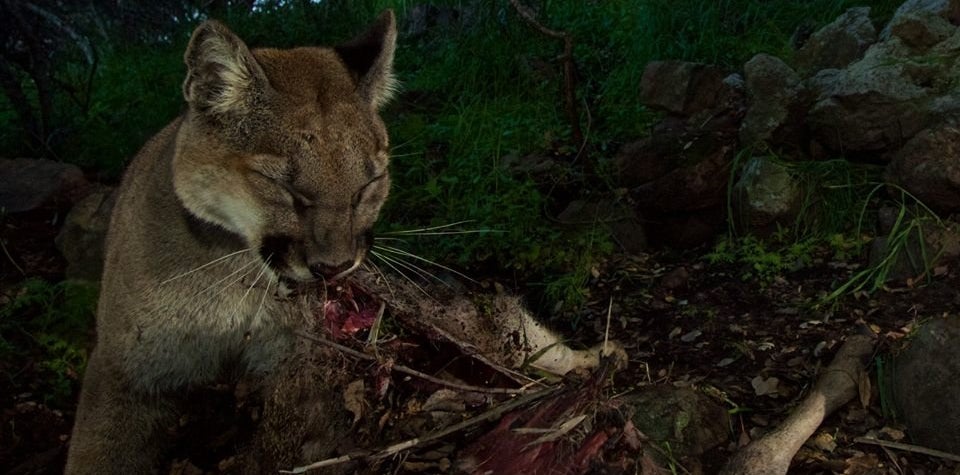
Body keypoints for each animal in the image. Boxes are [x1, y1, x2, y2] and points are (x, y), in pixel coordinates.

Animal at [67, 13, 624, 474]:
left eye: (367, 184)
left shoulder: (297, 364)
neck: (233, 279)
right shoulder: (124, 372)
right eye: (286, 187)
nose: (335, 267)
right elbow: (97, 454)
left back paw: (596, 358)